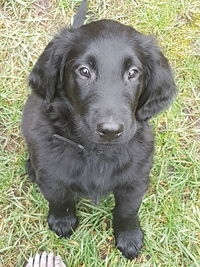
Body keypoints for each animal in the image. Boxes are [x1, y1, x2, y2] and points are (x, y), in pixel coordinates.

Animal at [21, 0, 175, 260]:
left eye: (133, 73)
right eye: (84, 71)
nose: (111, 130)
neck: (96, 152)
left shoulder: (135, 179)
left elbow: (127, 210)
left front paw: (129, 237)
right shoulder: (52, 175)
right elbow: (60, 198)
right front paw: (62, 221)